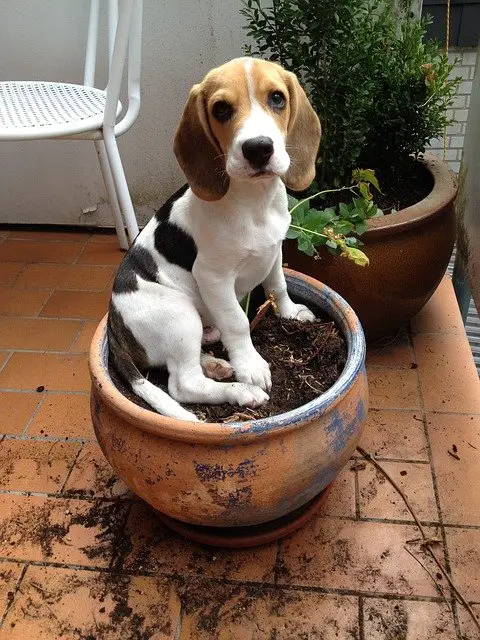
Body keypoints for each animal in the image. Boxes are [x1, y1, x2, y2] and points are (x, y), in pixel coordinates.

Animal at [107, 56, 320, 420]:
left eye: (277, 98)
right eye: (221, 109)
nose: (258, 149)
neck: (253, 201)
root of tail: (113, 325)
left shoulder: (275, 251)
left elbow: (277, 285)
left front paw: (290, 312)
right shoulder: (214, 277)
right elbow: (237, 322)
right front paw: (251, 367)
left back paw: (217, 364)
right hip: (179, 316)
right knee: (183, 384)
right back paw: (241, 391)